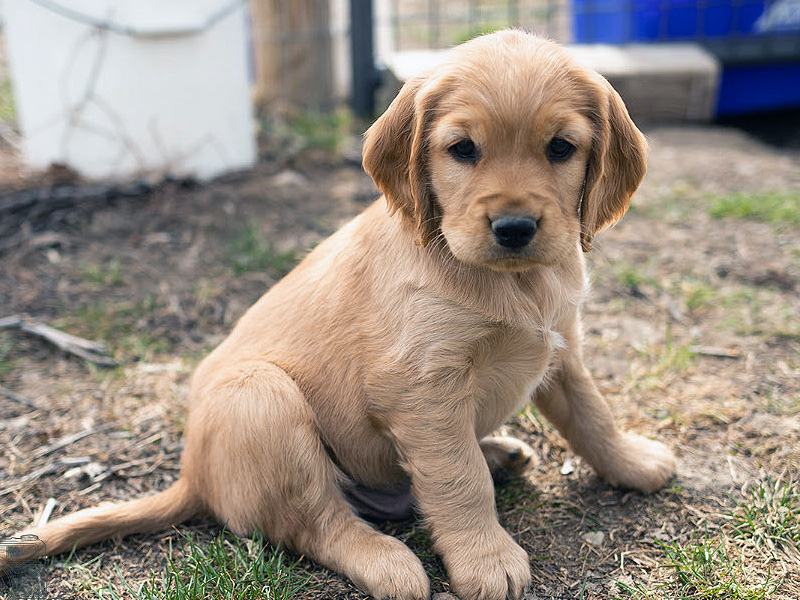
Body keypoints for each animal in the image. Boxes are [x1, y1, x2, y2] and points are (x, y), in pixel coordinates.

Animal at [1, 30, 676, 600]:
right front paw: (487, 561)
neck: (515, 282)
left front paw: (632, 462)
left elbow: (592, 415)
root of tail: (194, 475)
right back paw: (390, 562)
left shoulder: (561, 348)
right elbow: (458, 481)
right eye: (463, 150)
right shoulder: (422, 389)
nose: (514, 227)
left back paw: (500, 454)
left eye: (561, 148)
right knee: (320, 524)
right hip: (264, 399)